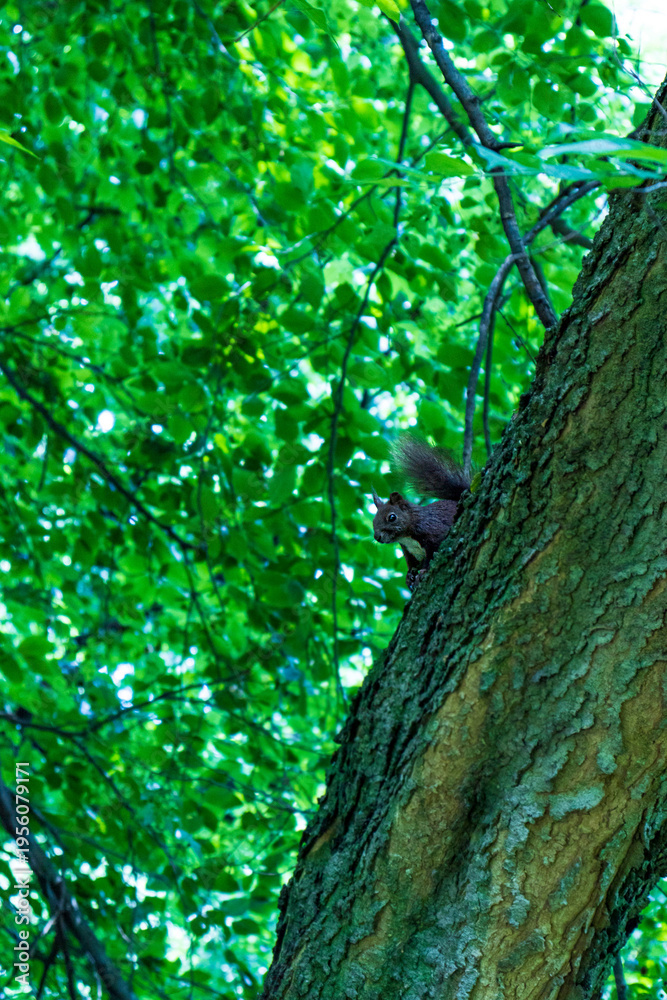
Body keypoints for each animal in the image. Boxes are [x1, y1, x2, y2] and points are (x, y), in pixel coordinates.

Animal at [372, 437, 470, 591]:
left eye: (392, 517)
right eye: (373, 521)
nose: (377, 537)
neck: (406, 537)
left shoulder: (435, 533)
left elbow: (431, 556)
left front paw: (423, 572)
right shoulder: (409, 551)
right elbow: (412, 565)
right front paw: (409, 577)